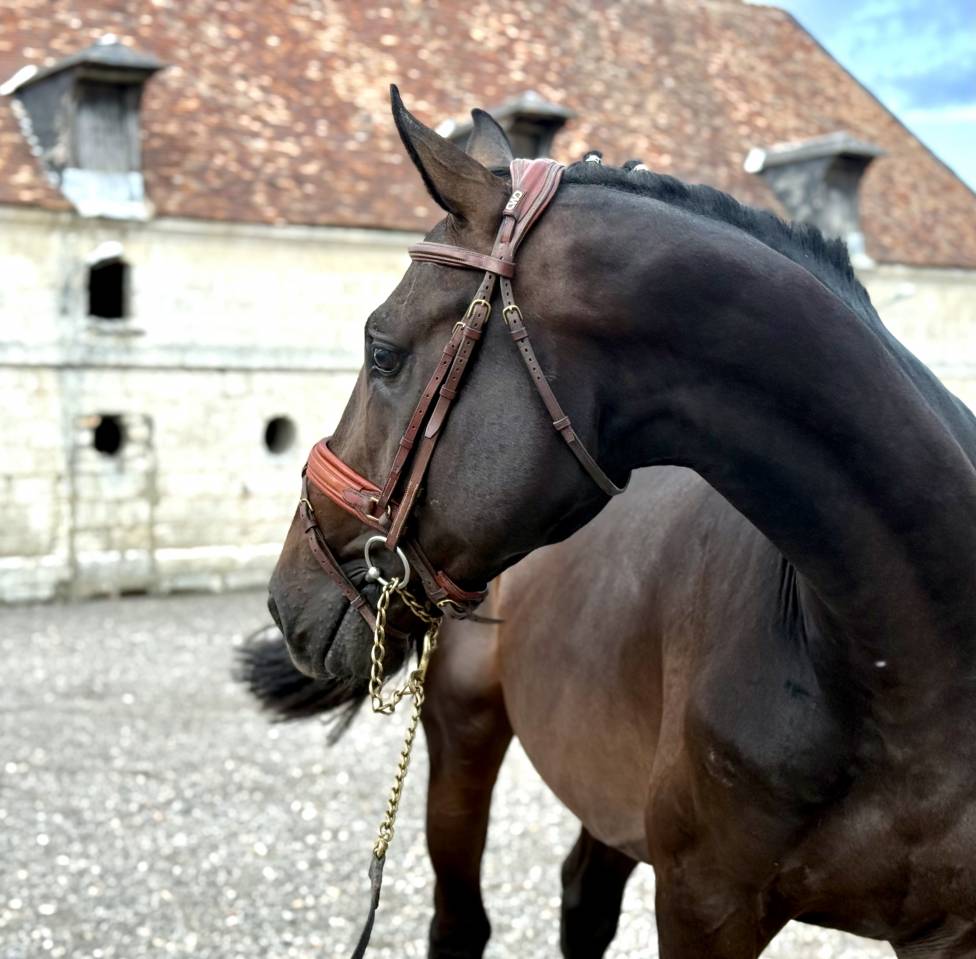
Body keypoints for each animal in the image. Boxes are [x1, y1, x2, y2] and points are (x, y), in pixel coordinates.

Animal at [259, 88, 976, 957]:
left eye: (383, 350)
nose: (287, 596)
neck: (907, 667)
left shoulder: (946, 928)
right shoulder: (704, 905)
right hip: (465, 736)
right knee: (461, 920)